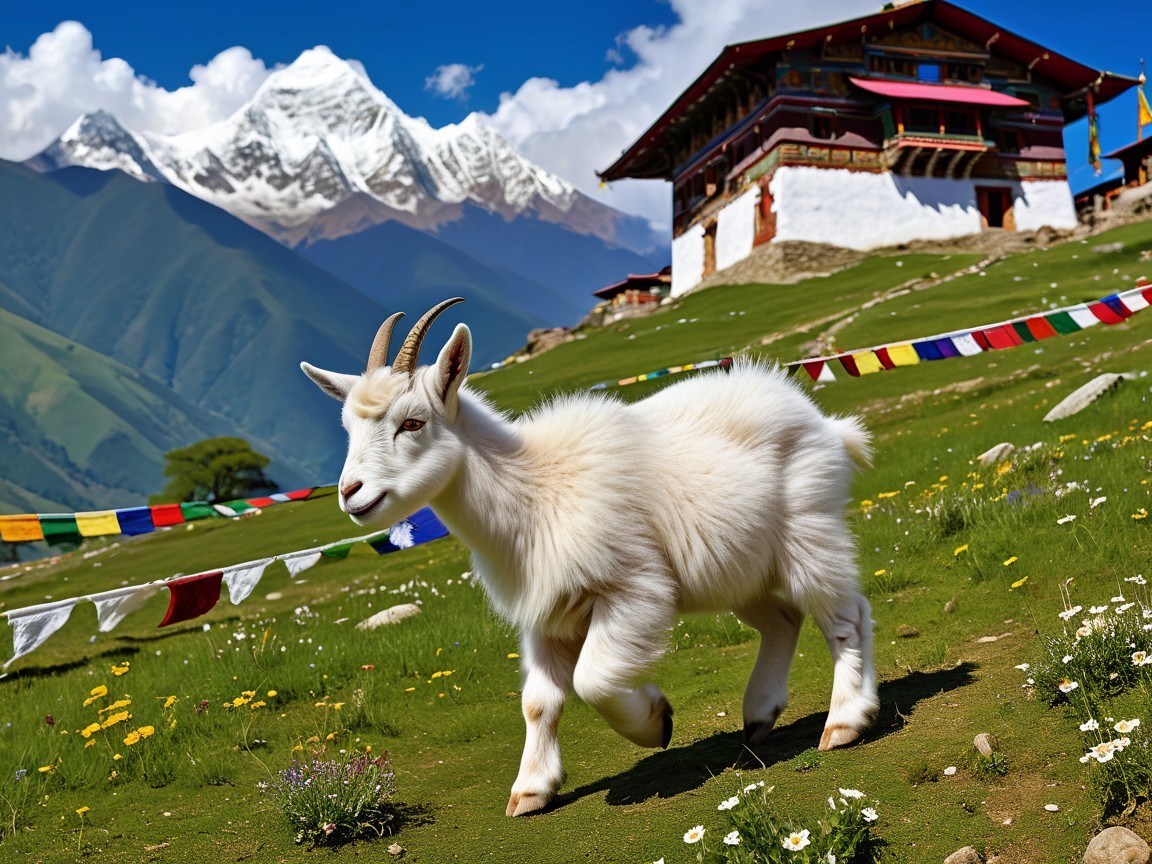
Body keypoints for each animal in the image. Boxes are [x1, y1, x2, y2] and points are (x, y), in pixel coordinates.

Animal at [301, 298, 878, 817]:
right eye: (350, 429)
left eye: (414, 423)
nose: (351, 493)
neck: (533, 491)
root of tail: (823, 422)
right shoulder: (545, 611)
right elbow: (539, 701)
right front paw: (531, 791)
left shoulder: (633, 588)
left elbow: (592, 679)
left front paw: (655, 719)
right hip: (738, 570)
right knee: (784, 618)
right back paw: (759, 715)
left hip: (809, 529)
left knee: (845, 615)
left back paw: (845, 721)